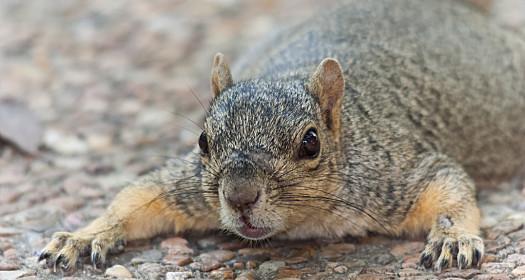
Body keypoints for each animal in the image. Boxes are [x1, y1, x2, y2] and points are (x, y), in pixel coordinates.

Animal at [40, 0, 524, 274]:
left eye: (310, 142)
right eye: (202, 142)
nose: (239, 197)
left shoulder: (395, 173)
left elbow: (448, 187)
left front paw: (452, 238)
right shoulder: (188, 187)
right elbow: (135, 197)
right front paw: (83, 236)